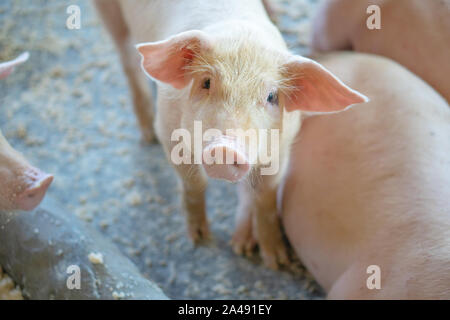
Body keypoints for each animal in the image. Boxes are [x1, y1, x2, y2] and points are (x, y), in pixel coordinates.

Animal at [94, 0, 366, 268]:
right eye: (206, 82)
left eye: (271, 96)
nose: (225, 148)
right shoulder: (168, 132)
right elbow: (194, 184)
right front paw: (200, 238)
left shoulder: (281, 149)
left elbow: (265, 197)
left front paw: (275, 260)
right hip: (111, 14)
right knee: (128, 60)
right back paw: (146, 134)